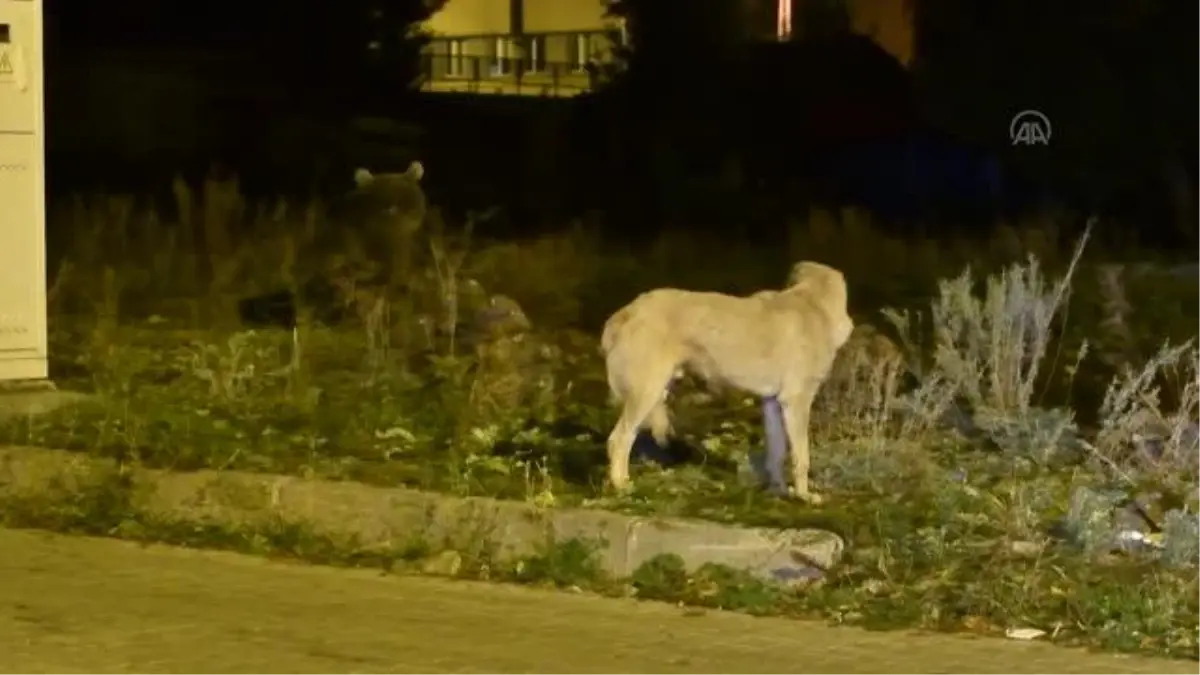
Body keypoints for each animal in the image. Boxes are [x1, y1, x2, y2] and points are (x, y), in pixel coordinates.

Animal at [600, 260, 854, 502]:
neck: (812, 303)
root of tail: (627, 312)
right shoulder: (797, 402)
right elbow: (801, 456)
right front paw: (803, 496)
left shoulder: (772, 403)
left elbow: (777, 452)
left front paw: (779, 491)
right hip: (646, 394)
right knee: (618, 440)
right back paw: (622, 487)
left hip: (653, 393)